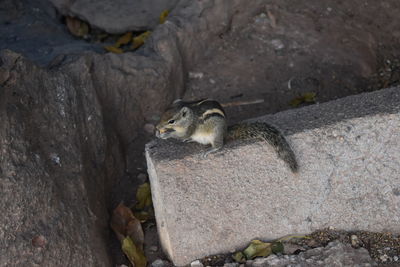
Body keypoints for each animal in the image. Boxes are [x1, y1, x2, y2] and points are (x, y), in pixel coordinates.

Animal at [155, 99, 298, 173]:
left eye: (171, 121)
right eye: (162, 114)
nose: (157, 126)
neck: (191, 115)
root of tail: (225, 132)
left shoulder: (191, 126)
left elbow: (183, 133)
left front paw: (165, 134)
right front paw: (158, 132)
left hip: (215, 134)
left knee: (219, 145)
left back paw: (209, 150)